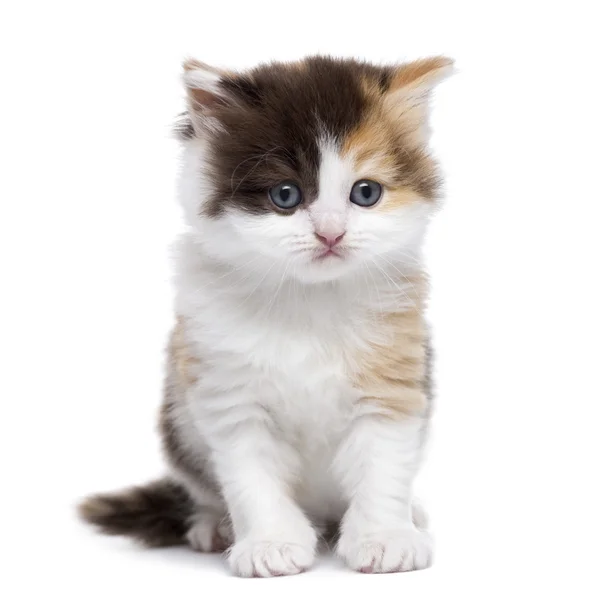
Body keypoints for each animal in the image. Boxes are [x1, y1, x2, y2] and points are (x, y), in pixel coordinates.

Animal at [80, 55, 454, 576]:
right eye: (285, 195)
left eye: (365, 193)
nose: (331, 234)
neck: (307, 299)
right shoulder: (229, 396)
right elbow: (251, 478)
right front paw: (270, 544)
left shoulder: (392, 382)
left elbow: (383, 465)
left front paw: (385, 537)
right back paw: (213, 526)